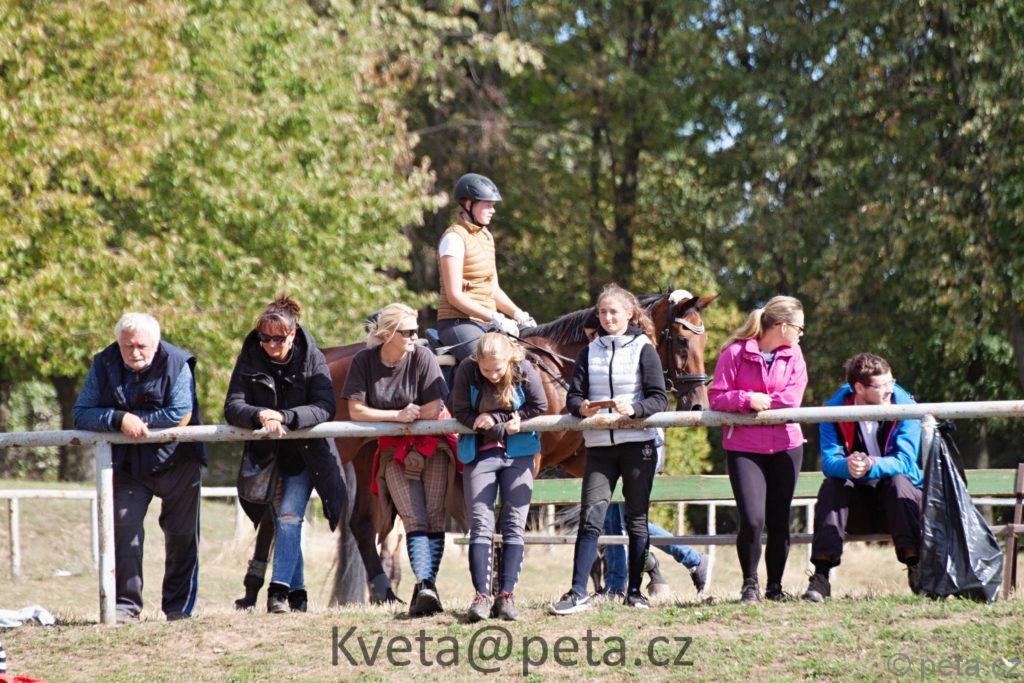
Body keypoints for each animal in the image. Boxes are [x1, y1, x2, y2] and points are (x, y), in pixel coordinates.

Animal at [321, 290, 716, 603]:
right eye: (683, 341)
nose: (698, 404)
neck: (558, 369)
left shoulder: (579, 458)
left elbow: (611, 513)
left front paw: (655, 573)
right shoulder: (531, 457)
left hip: (367, 455)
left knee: (361, 524)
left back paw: (386, 593)